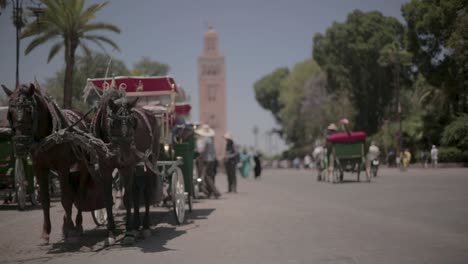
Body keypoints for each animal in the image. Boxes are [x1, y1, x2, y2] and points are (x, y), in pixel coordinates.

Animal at [2, 83, 90, 244]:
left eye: (29, 110)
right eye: (10, 112)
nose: (20, 144)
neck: (47, 136)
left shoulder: (62, 166)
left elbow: (66, 199)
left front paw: (70, 229)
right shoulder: (39, 168)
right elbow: (45, 200)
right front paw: (46, 233)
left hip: (84, 166)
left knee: (80, 193)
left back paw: (77, 225)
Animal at [91, 89, 161, 244]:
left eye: (132, 122)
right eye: (113, 123)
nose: (124, 156)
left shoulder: (127, 167)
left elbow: (127, 197)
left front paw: (128, 232)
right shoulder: (105, 168)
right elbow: (108, 198)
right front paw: (111, 233)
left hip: (149, 159)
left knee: (145, 191)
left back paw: (144, 227)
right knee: (135, 190)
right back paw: (136, 226)